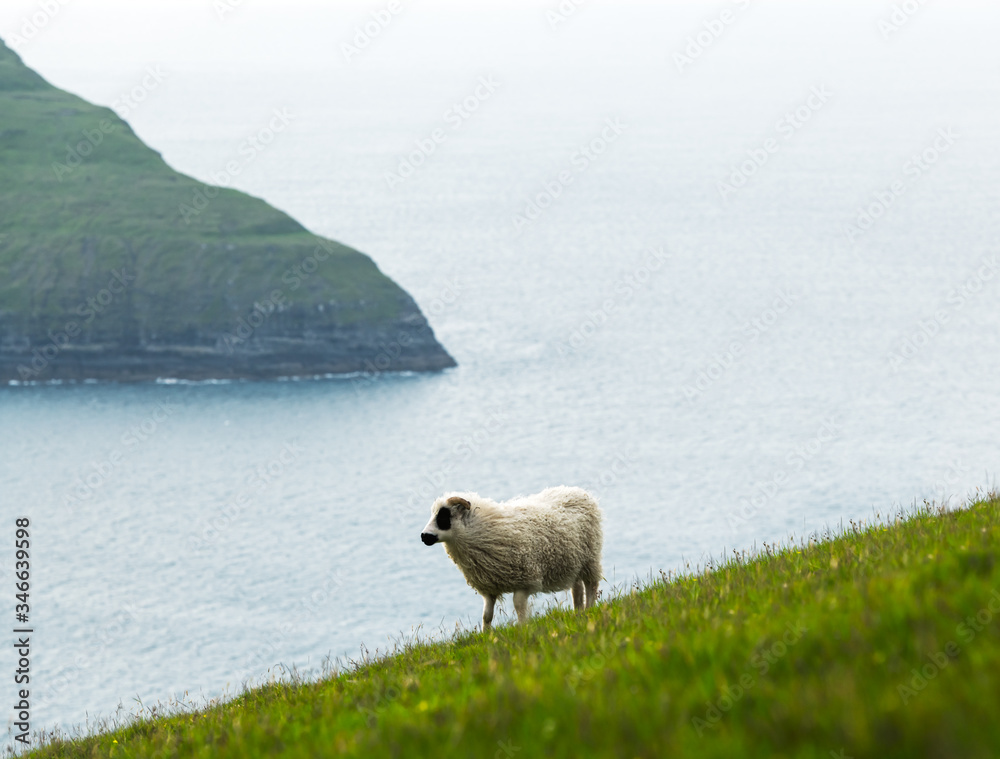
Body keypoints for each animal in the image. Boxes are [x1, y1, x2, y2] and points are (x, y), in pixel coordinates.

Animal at [420, 486, 600, 628]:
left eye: (443, 516)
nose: (424, 536)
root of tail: (576, 490)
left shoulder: (524, 580)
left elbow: (519, 607)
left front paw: (522, 629)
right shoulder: (489, 587)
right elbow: (487, 615)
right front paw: (487, 635)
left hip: (590, 558)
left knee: (591, 585)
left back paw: (589, 610)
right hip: (573, 562)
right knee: (577, 589)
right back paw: (578, 613)